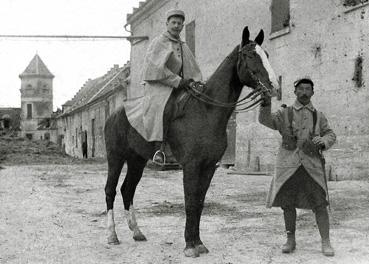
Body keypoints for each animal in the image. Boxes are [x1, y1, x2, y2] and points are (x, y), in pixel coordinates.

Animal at [102, 25, 278, 256]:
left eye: (266, 55)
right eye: (250, 55)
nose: (273, 87)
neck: (207, 111)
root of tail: (114, 115)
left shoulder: (209, 166)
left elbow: (200, 202)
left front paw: (199, 242)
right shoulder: (191, 165)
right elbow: (190, 202)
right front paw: (189, 245)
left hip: (136, 160)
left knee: (127, 190)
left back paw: (137, 232)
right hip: (115, 157)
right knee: (110, 191)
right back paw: (112, 236)